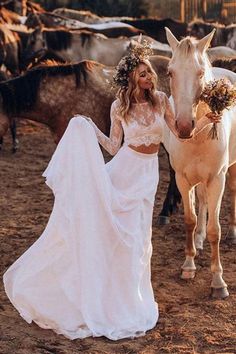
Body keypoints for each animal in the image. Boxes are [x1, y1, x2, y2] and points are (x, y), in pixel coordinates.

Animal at [164, 28, 236, 298]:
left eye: (200, 72)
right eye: (170, 72)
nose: (184, 126)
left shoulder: (217, 179)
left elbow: (215, 228)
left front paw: (218, 282)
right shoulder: (183, 180)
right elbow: (191, 220)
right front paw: (188, 265)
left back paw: (232, 233)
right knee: (202, 202)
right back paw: (199, 240)